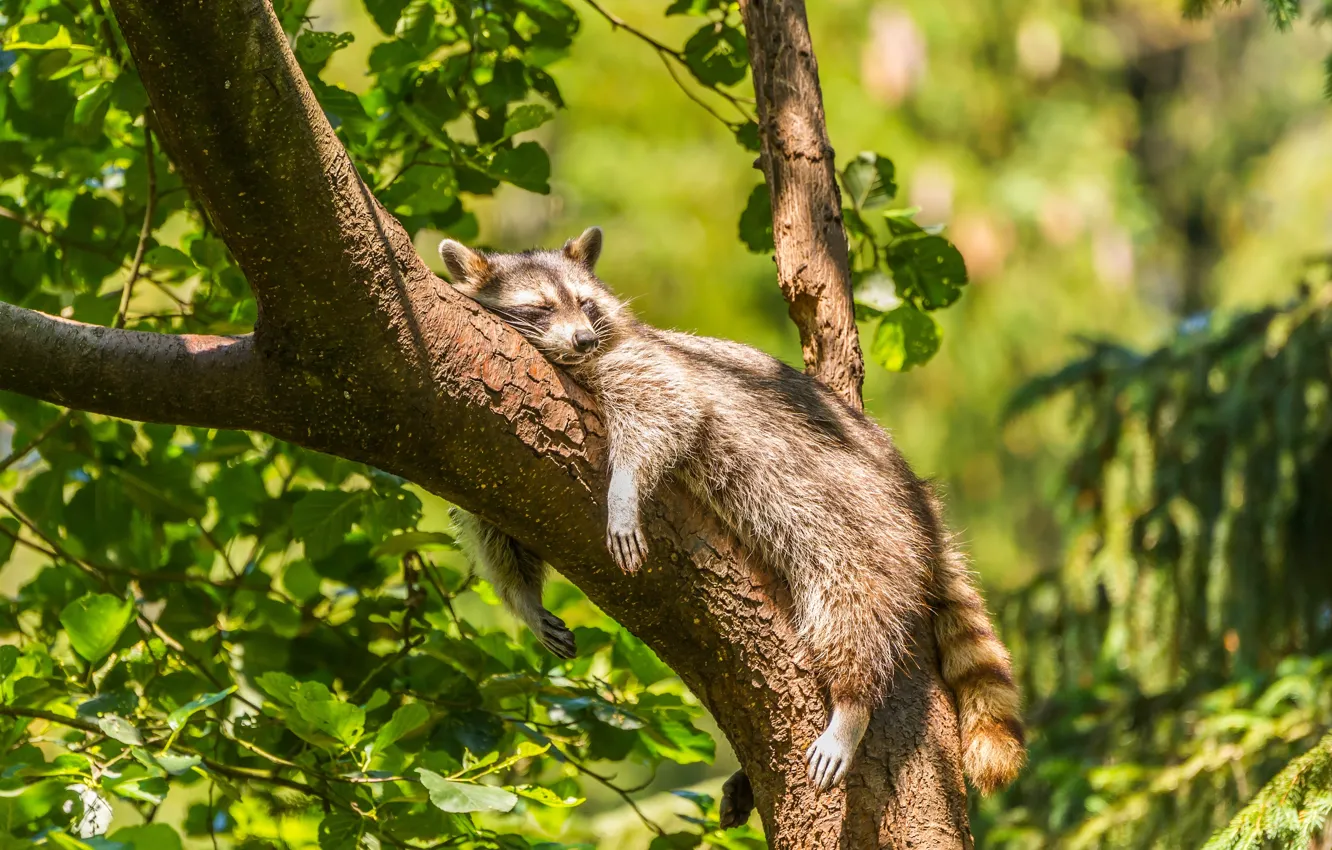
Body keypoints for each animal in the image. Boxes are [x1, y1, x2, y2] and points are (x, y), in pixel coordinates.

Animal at [442, 229, 1022, 804]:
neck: (574, 359)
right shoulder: (487, 445)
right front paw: (523, 599)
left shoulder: (643, 363)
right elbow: (493, 522)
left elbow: (668, 412)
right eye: (539, 309)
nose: (583, 339)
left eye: (585, 304)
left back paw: (853, 700)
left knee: (854, 600)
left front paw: (623, 490)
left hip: (865, 518)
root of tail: (916, 495)